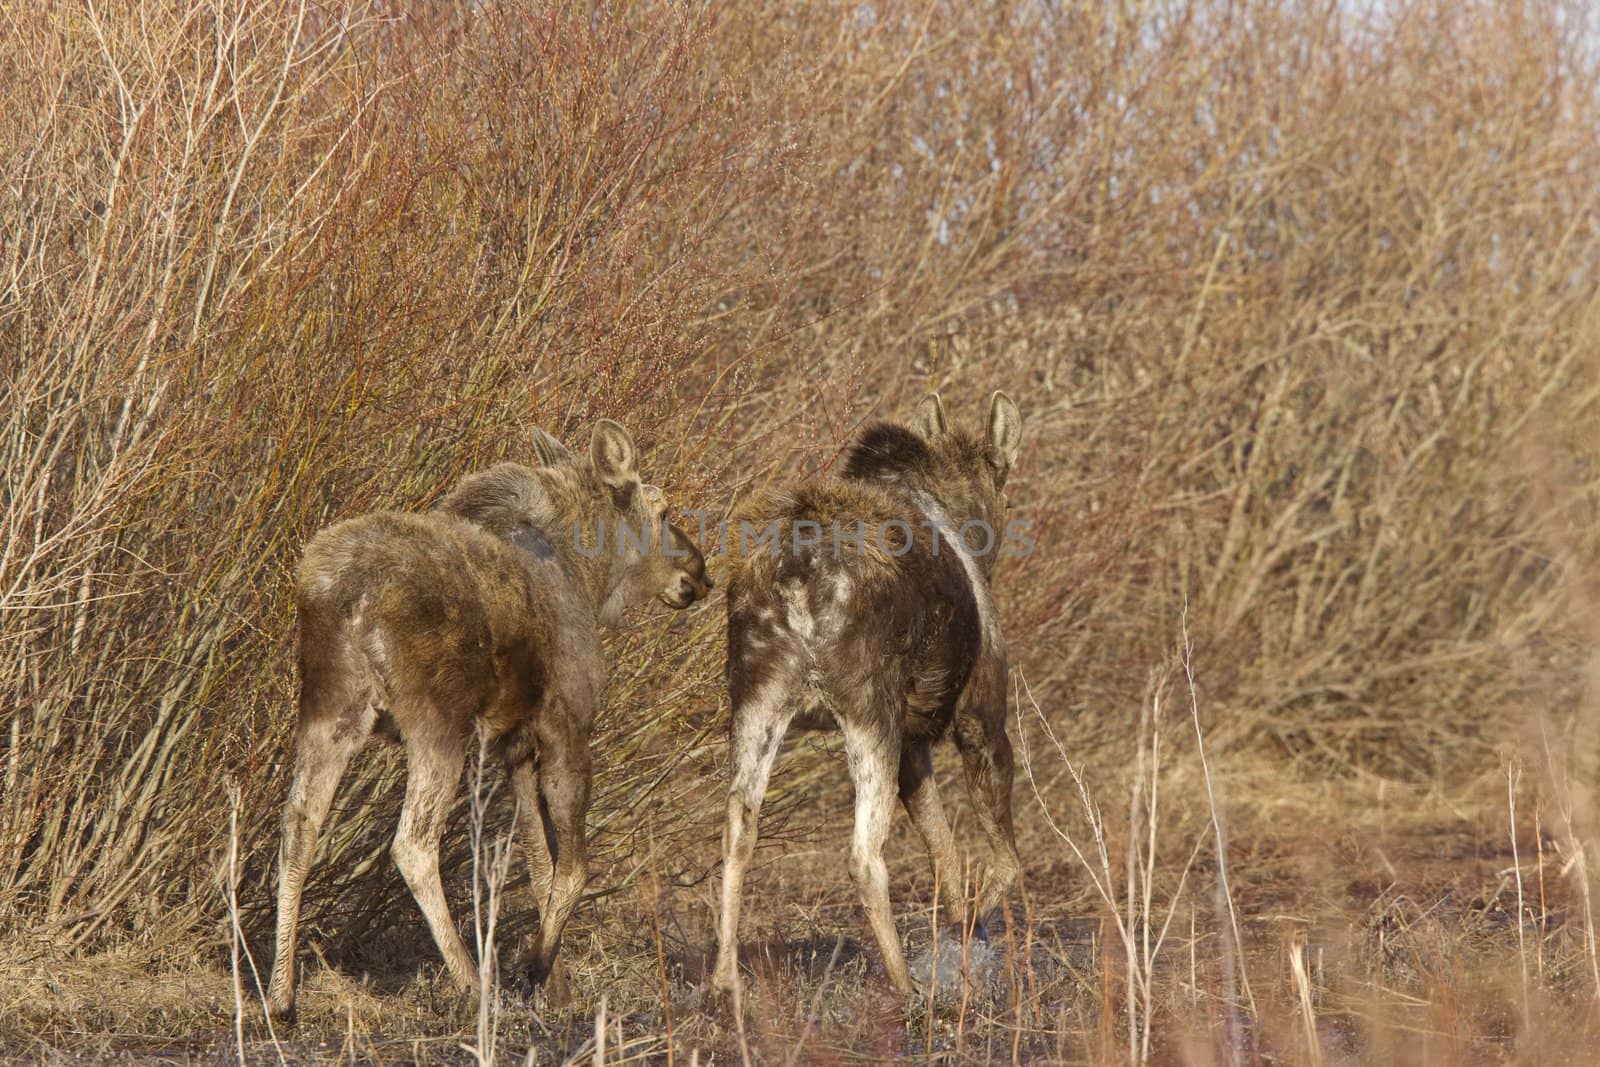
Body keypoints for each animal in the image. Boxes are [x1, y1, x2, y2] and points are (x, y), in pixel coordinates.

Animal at [265, 422, 710, 1023]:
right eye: (662, 512)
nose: (699, 574)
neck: (589, 578)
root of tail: (344, 592)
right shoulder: (567, 726)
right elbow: (574, 868)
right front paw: (534, 970)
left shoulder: (513, 748)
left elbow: (540, 865)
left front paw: (558, 992)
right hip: (438, 725)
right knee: (412, 844)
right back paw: (473, 984)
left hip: (328, 709)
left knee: (298, 825)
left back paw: (281, 995)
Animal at [716, 391, 1024, 1004]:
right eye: (1002, 483)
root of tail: (795, 575)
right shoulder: (980, 719)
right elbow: (1001, 863)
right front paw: (967, 942)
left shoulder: (914, 745)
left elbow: (946, 856)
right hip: (868, 705)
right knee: (864, 856)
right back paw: (905, 987)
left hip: (757, 696)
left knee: (739, 821)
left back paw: (723, 981)